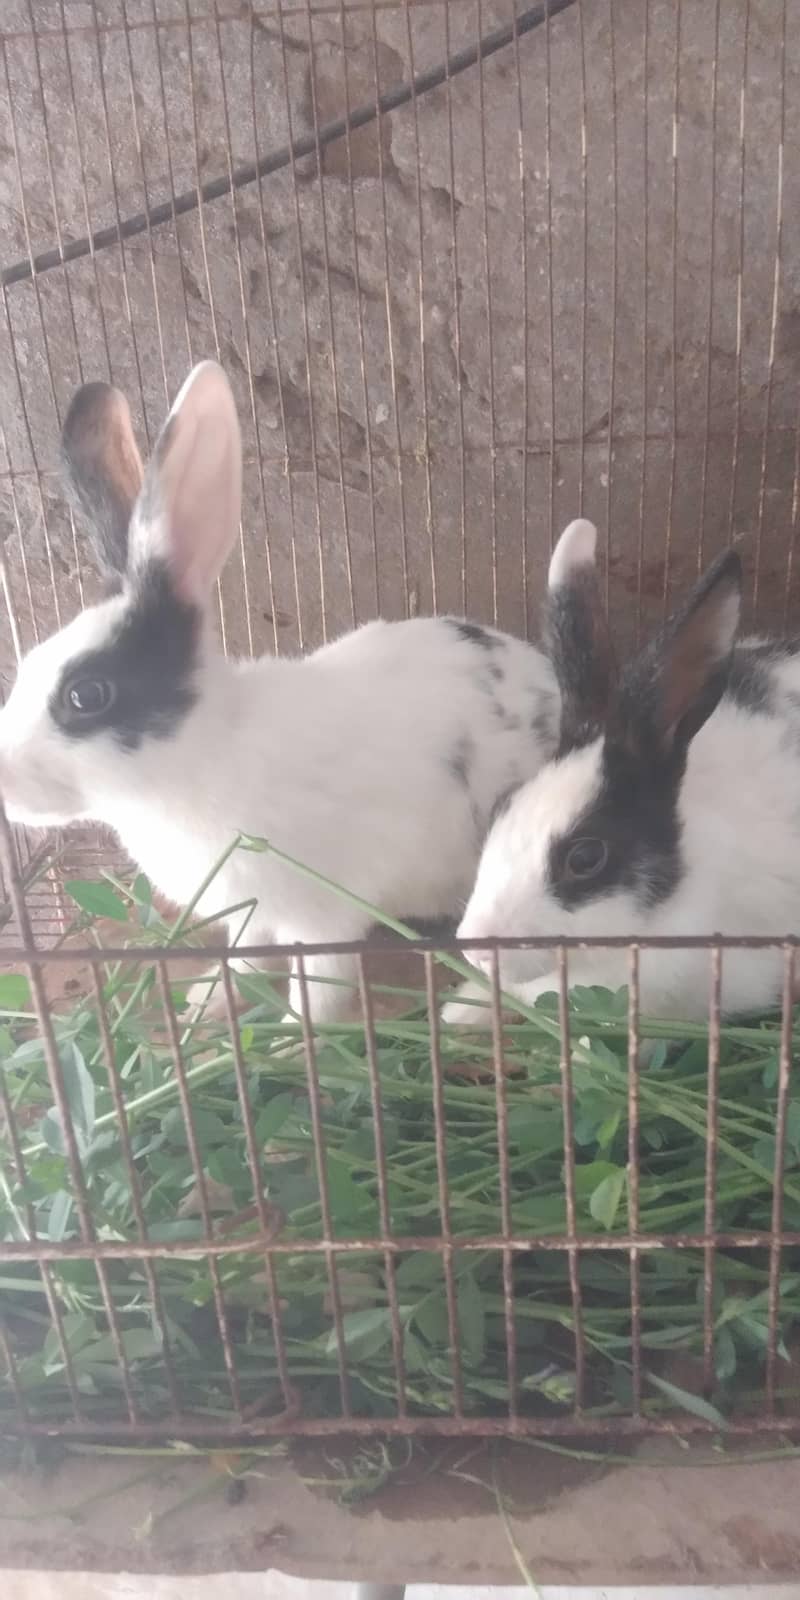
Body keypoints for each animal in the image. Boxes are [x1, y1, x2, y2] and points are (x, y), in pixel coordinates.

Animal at [0, 361, 560, 1025]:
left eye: (86, 695)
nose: (5, 783)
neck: (200, 757)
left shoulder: (322, 916)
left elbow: (317, 988)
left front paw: (294, 1035)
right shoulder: (250, 913)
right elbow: (244, 961)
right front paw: (204, 1006)